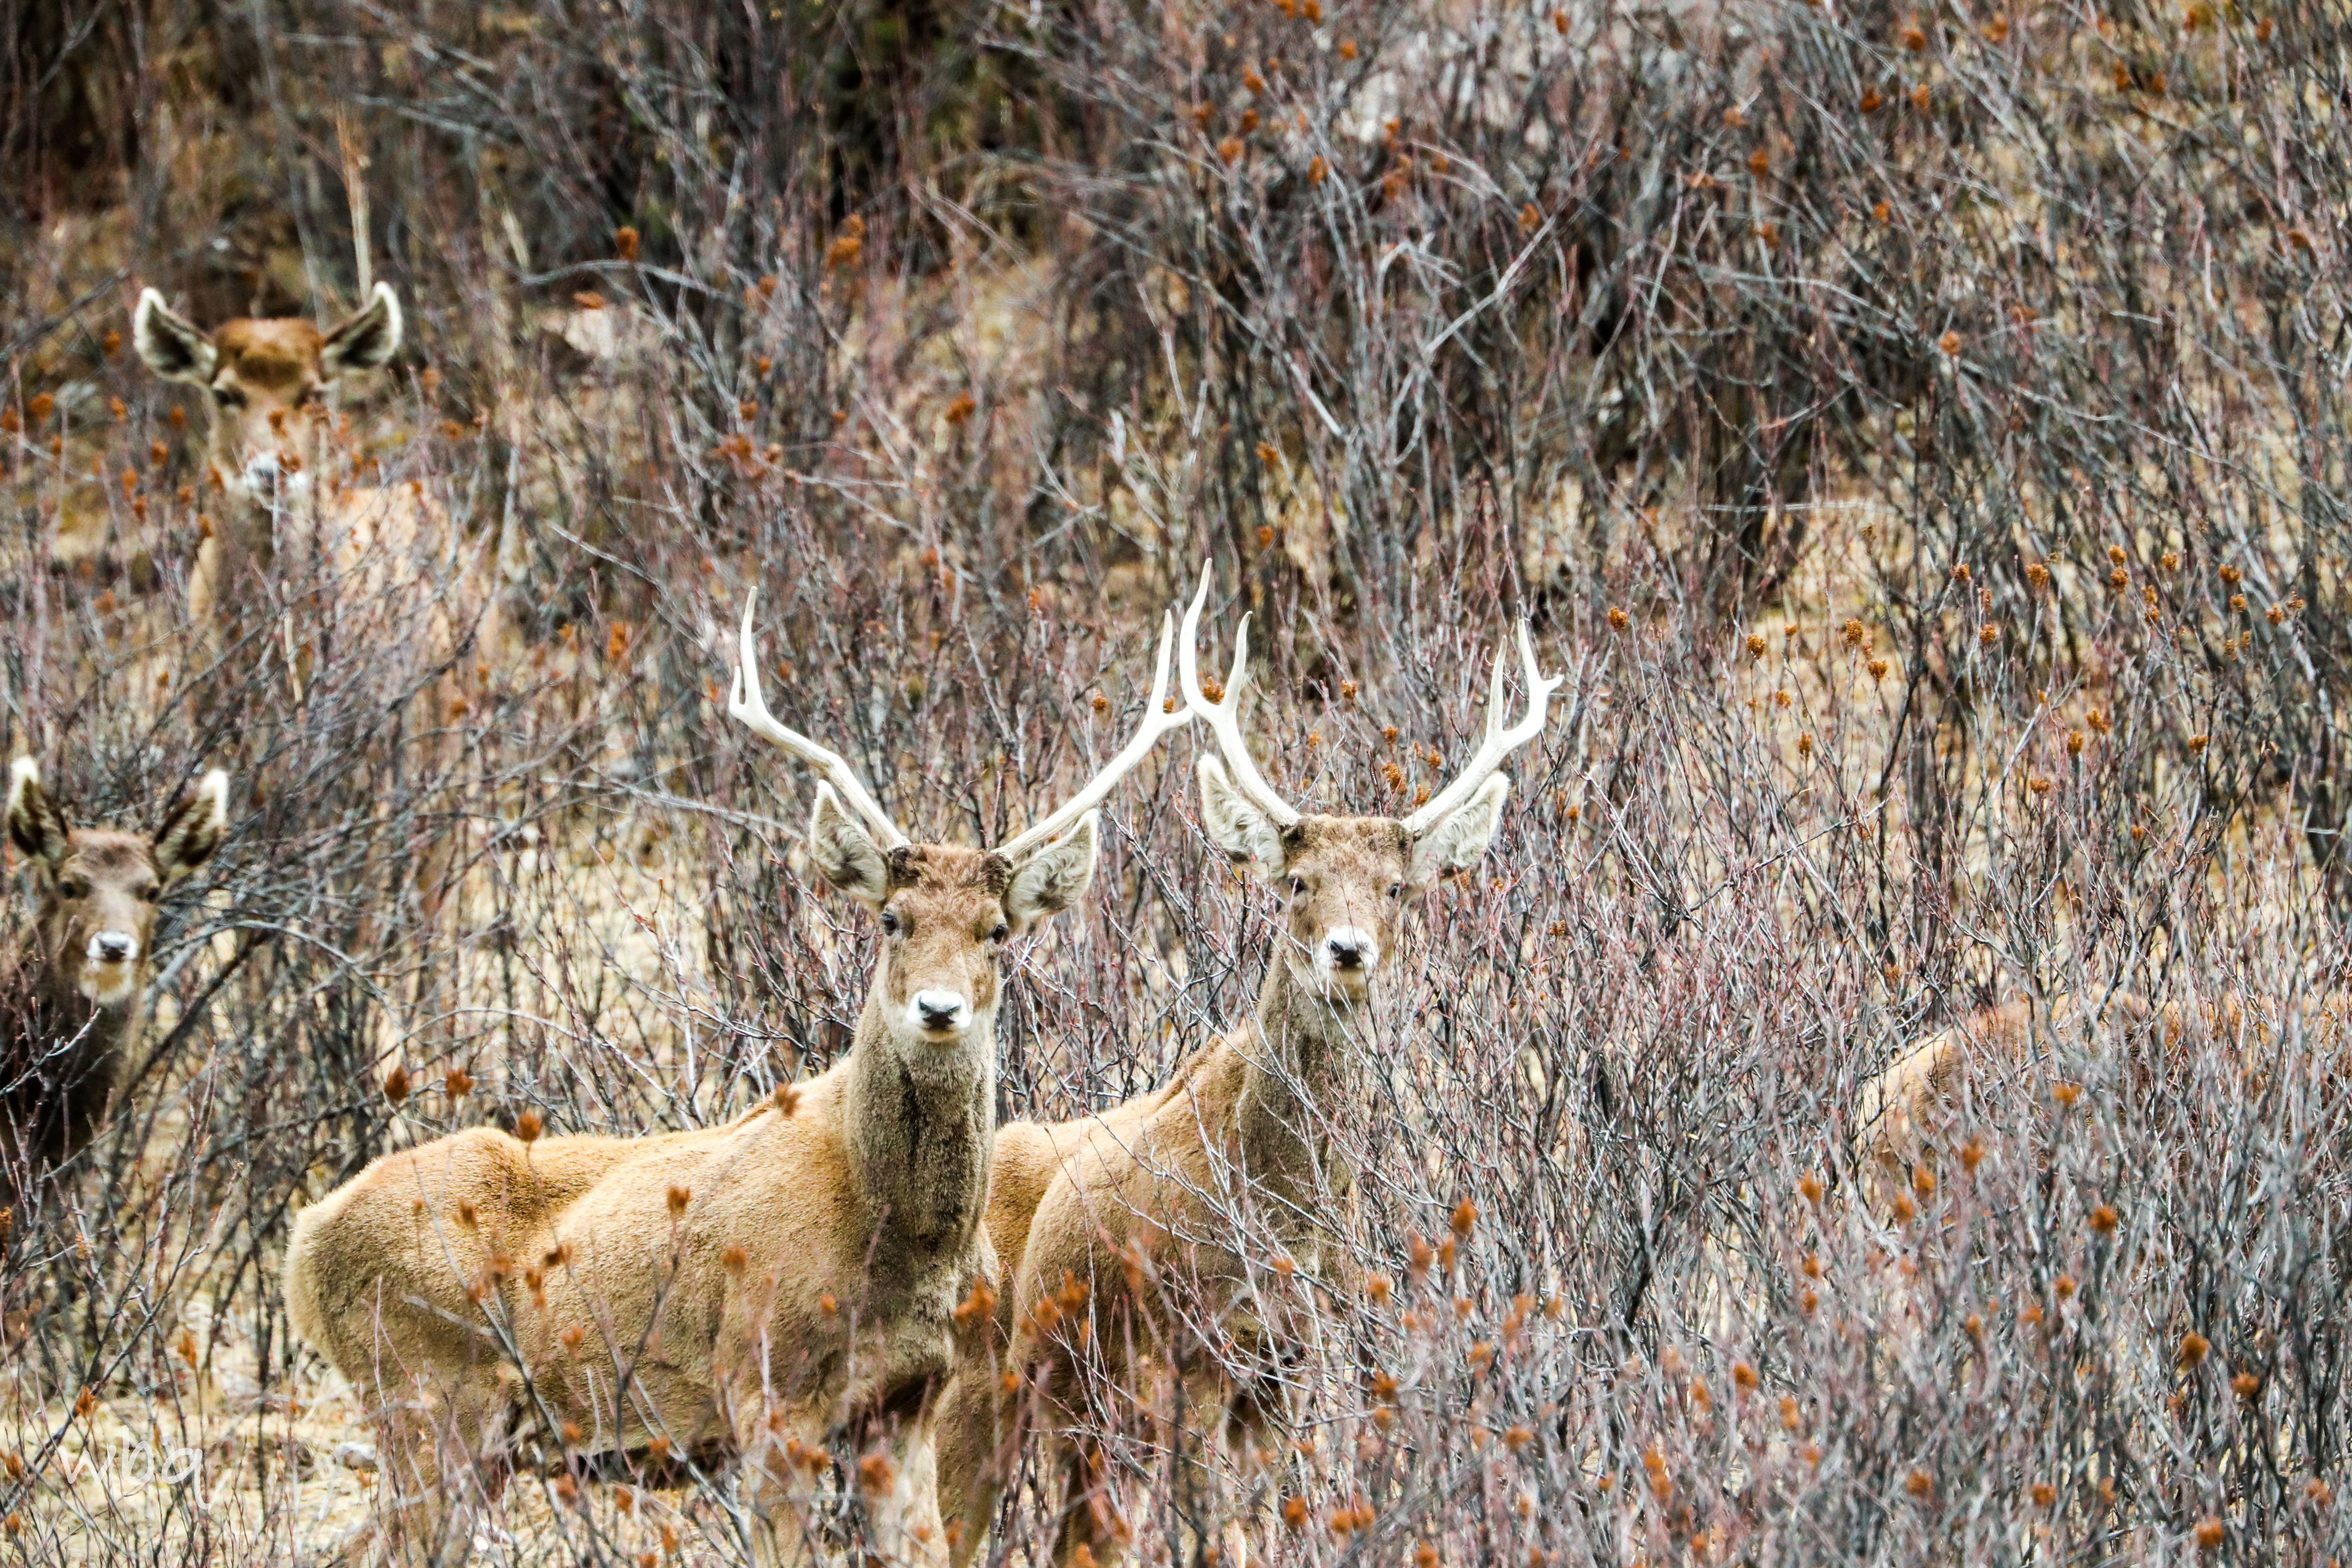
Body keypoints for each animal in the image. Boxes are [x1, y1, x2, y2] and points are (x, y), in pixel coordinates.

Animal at [281, 590, 1194, 1566]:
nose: (939, 1009)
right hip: (426, 1397)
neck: (899, 1238)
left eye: (995, 930)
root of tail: (305, 1241)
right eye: (892, 920)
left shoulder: (908, 1400)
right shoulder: (766, 1386)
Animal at [937, 566, 1563, 1568]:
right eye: (1299, 881)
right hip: (985, 1387)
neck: (1277, 1202)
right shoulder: (1193, 1347)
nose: (1347, 951)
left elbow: (1272, 1515)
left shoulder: (1298, 1351)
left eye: (1396, 887)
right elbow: (1207, 1525)